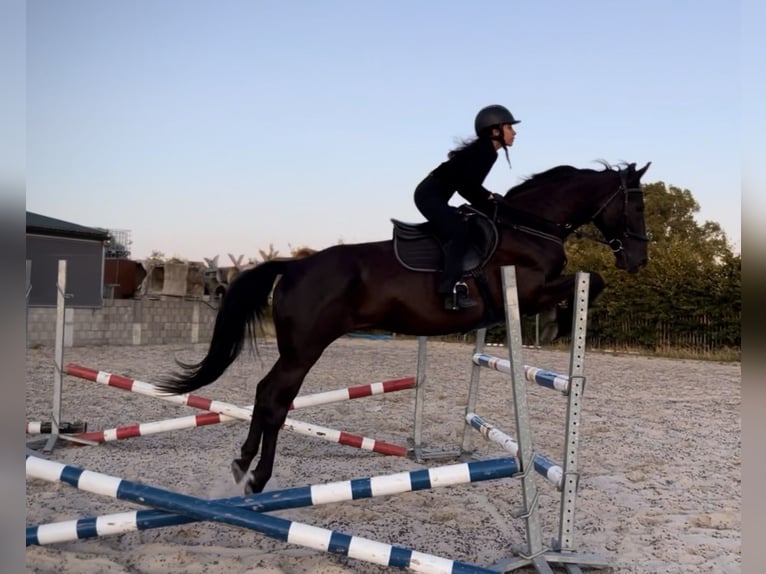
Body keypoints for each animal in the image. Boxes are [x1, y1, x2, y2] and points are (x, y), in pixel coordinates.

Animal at [156, 160, 651, 495]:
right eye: (637, 205)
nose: (639, 260)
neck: (530, 226)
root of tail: (294, 266)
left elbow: (587, 282)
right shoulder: (529, 290)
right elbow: (591, 281)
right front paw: (558, 326)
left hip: (297, 349)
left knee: (264, 394)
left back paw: (242, 464)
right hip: (304, 349)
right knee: (275, 398)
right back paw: (257, 476)